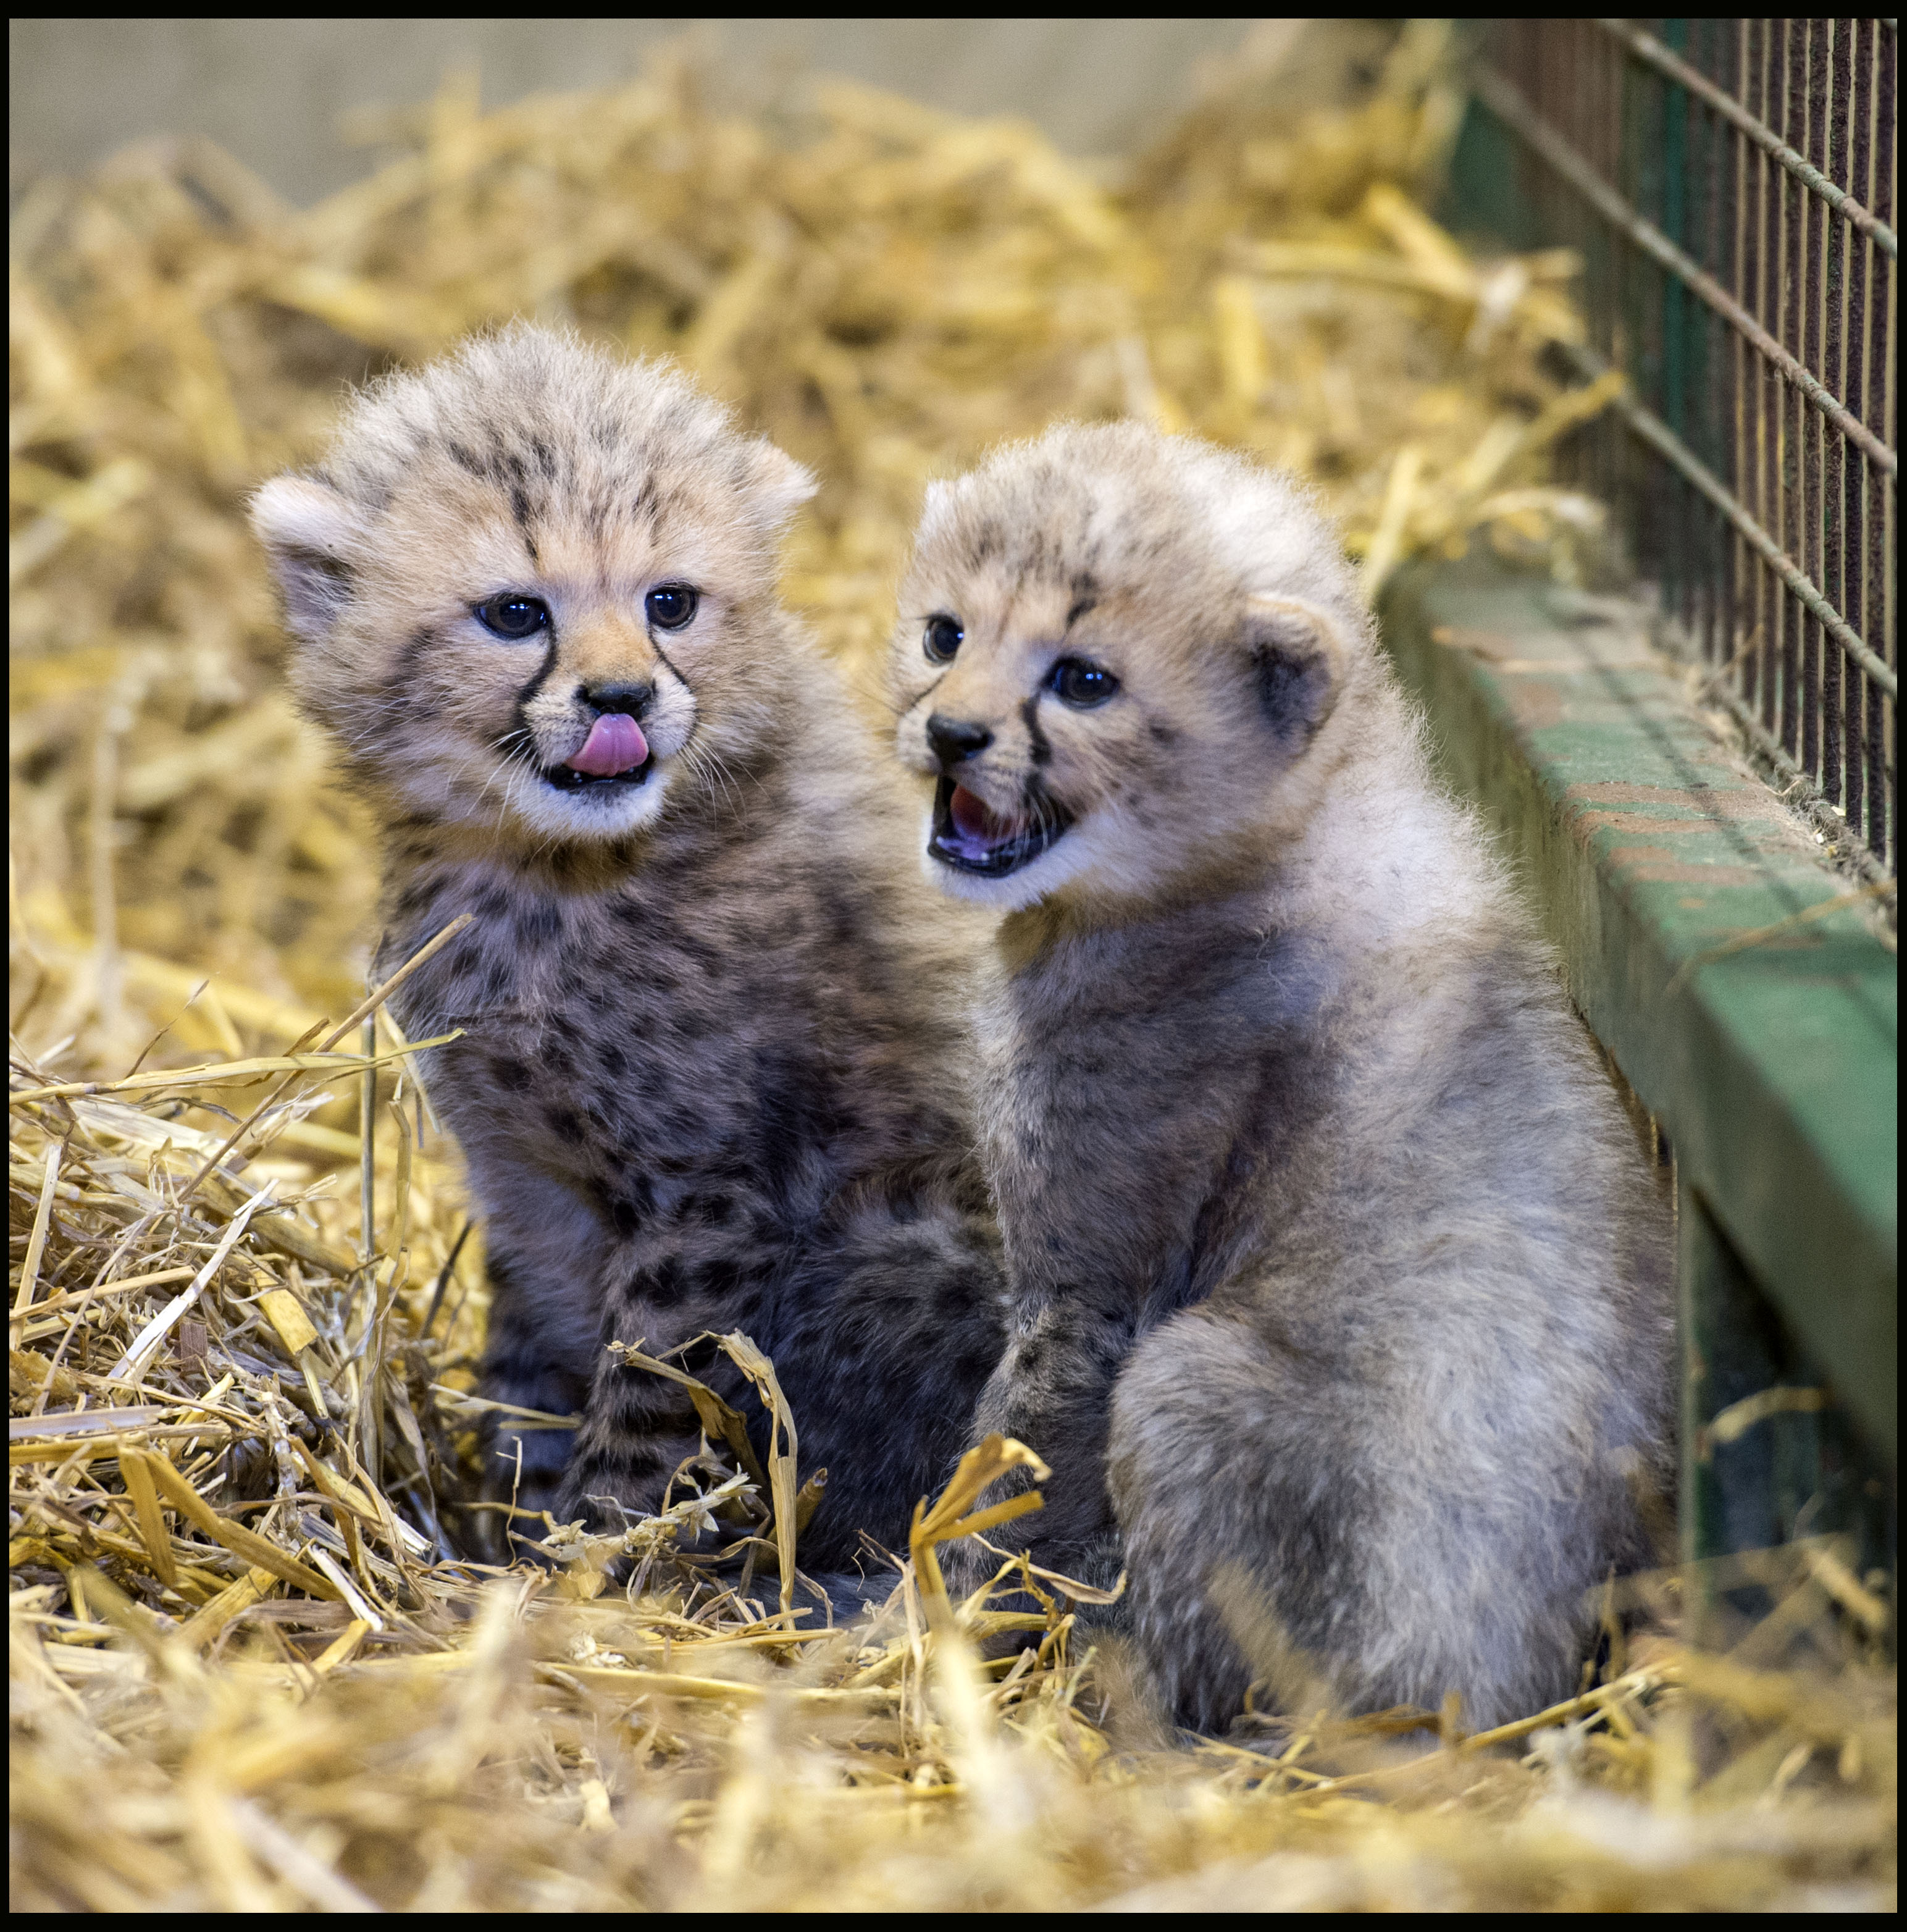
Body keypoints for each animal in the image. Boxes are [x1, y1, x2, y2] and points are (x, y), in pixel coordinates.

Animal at [251, 323, 1005, 1592]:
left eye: (670, 603)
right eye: (516, 612)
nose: (621, 698)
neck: (549, 872)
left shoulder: (709, 1199)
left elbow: (646, 1394)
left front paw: (591, 1570)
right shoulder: (523, 1173)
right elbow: (531, 1363)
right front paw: (512, 1527)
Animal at [887, 419, 1674, 1730]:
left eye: (1084, 679)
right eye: (946, 634)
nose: (950, 735)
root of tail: (1466, 1704)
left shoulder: (1093, 1291)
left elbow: (1011, 1460)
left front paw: (940, 1619)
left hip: (1186, 1378)